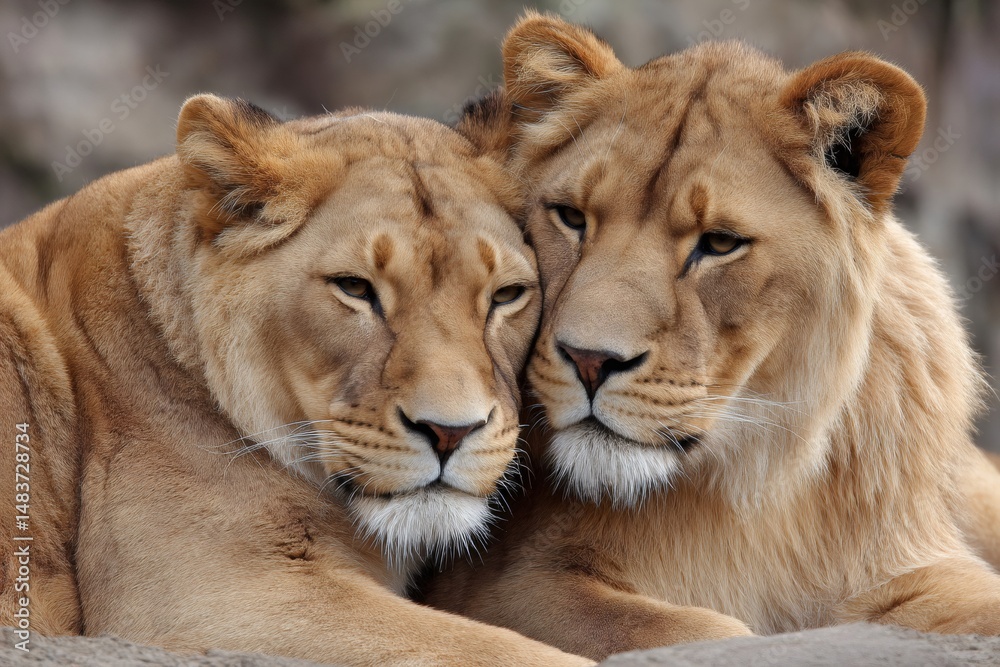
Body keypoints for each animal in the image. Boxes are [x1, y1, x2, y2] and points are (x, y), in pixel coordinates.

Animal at [421, 13, 1000, 660]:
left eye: (719, 243)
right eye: (571, 217)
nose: (589, 360)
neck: (756, 481)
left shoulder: (912, 565)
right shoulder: (504, 582)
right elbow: (701, 632)